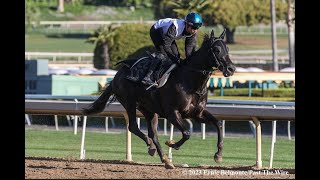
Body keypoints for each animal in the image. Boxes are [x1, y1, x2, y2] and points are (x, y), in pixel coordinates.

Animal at [83, 28, 235, 168]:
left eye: (227, 48)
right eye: (216, 50)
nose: (231, 68)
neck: (190, 82)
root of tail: (117, 75)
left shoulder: (197, 113)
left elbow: (218, 123)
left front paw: (218, 155)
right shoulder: (172, 113)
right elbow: (186, 133)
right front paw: (172, 143)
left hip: (149, 109)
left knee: (153, 133)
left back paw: (163, 157)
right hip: (129, 102)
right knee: (133, 126)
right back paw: (152, 147)